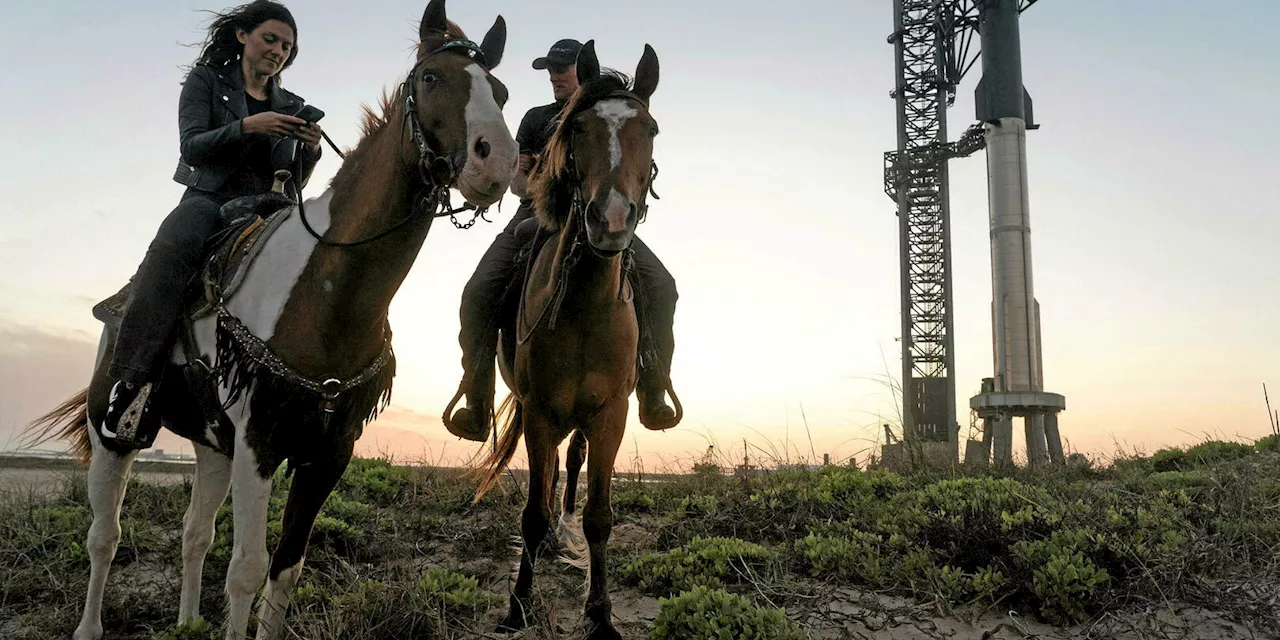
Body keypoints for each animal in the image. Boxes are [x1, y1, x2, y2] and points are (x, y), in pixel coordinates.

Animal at [23, 2, 514, 637]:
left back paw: (187, 622)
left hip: (213, 449)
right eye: (431, 78)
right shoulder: (260, 443)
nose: (497, 161)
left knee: (194, 535)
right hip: (114, 434)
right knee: (104, 537)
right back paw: (90, 625)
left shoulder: (326, 454)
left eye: (500, 92)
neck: (324, 294)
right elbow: (248, 571)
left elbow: (285, 570)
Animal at [476, 41, 665, 640]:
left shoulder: (610, 414)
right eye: (577, 128)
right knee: (554, 470)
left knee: (573, 462)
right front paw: (518, 604)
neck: (586, 306)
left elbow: (599, 516)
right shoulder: (539, 410)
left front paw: (599, 614)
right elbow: (532, 513)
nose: (610, 220)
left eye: (650, 129)